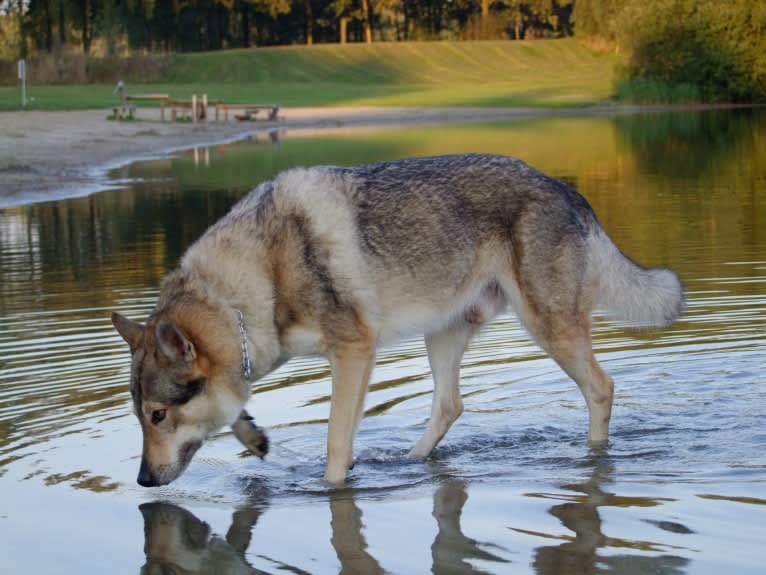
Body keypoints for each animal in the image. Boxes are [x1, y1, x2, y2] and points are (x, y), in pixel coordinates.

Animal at [109, 153, 684, 486]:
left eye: (157, 416)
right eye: (139, 416)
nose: (141, 481)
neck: (254, 278)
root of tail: (567, 189)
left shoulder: (353, 352)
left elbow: (336, 443)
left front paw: (331, 488)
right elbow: (237, 407)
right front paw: (252, 436)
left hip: (548, 329)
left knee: (602, 387)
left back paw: (595, 458)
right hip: (443, 334)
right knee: (450, 405)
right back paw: (408, 462)